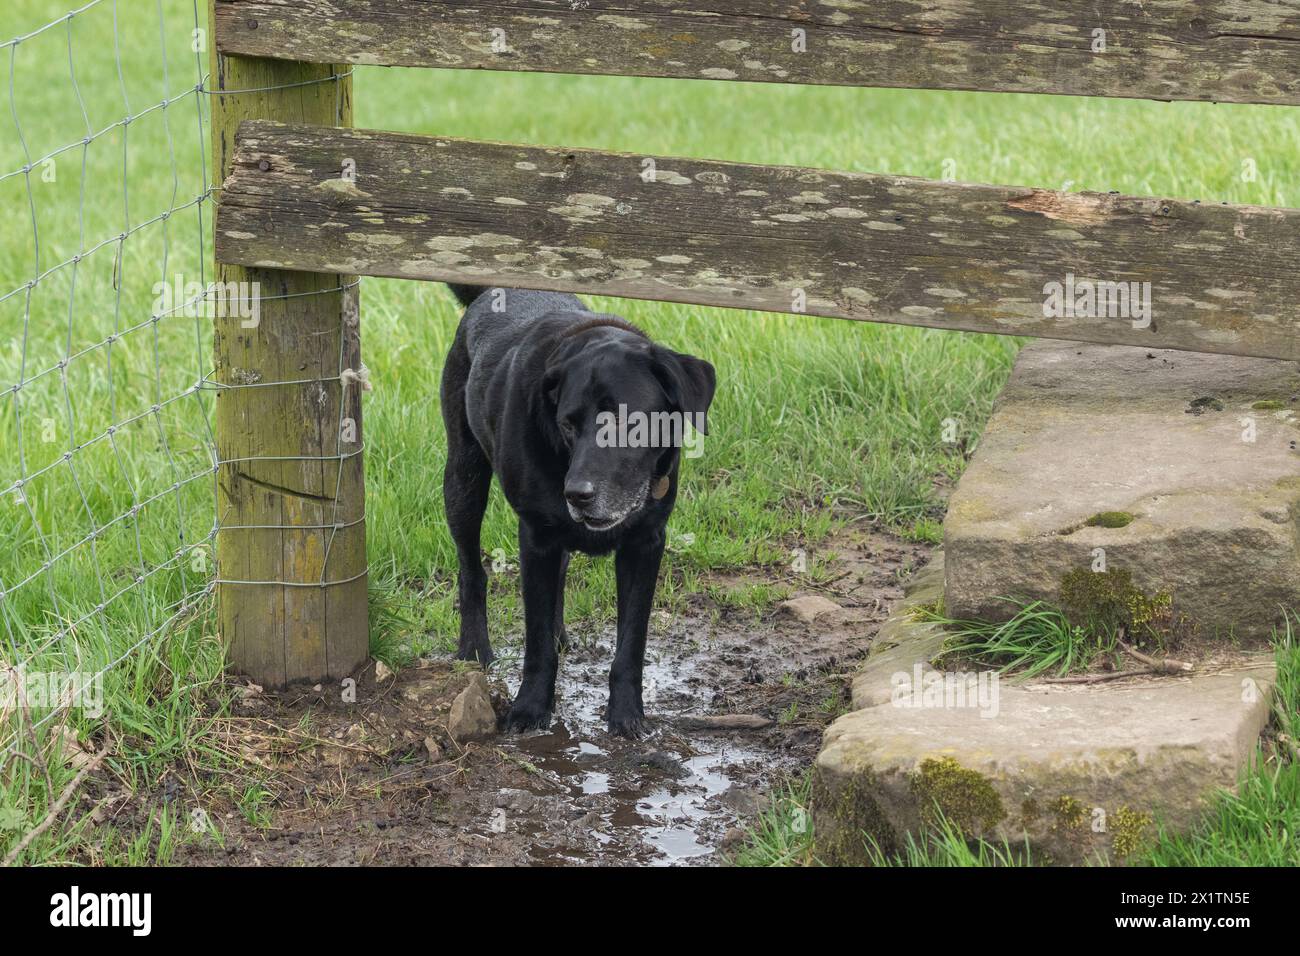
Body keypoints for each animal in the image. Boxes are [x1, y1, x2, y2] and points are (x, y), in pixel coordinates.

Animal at [441, 282, 717, 733]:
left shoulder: (645, 543)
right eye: (567, 424)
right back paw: (474, 649)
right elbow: (535, 644)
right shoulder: (536, 537)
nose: (577, 493)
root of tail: (491, 289)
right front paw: (530, 708)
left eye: (627, 422)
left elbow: (631, 642)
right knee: (471, 571)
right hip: (463, 478)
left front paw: (627, 713)